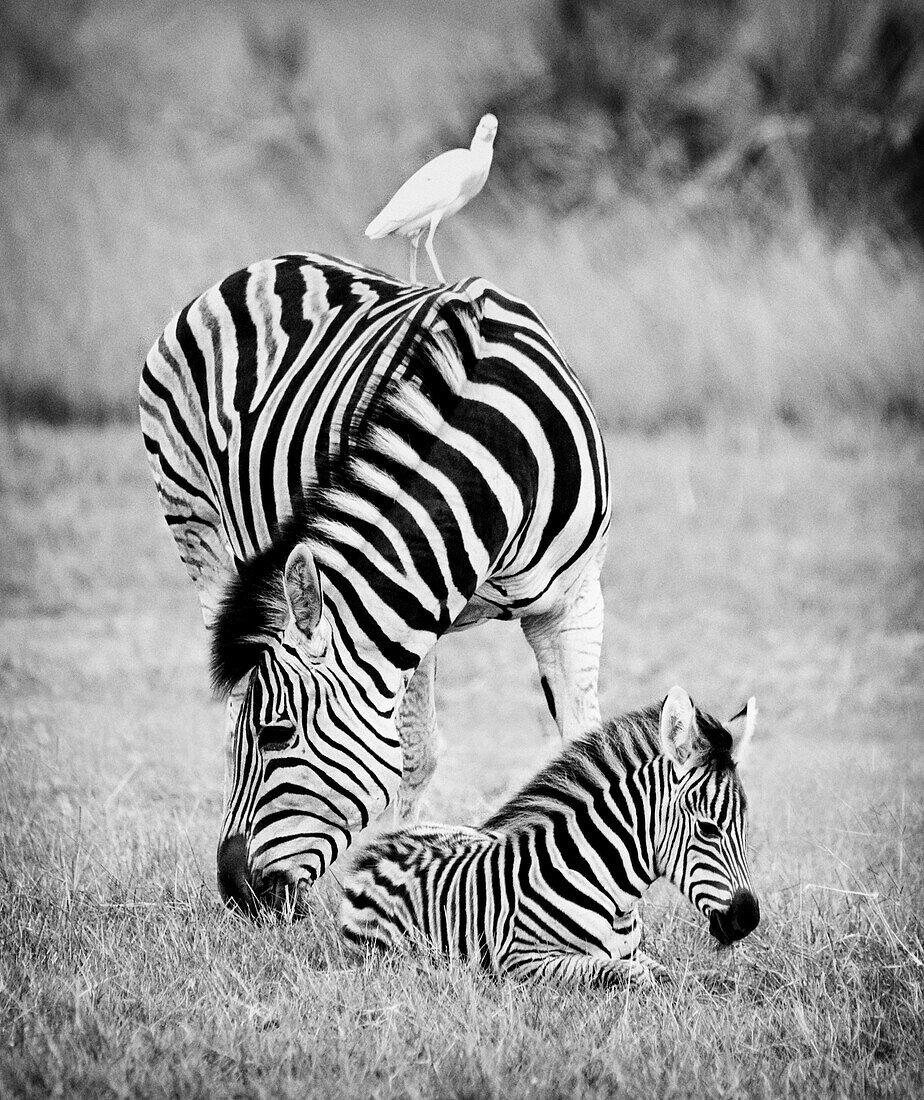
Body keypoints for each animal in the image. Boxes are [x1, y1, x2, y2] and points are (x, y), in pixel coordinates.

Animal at [140, 253, 611, 915]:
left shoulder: (573, 602)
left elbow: (581, 743)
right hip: (197, 527)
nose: (235, 892)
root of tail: (258, 268)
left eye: (277, 733)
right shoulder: (415, 611)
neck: (497, 450)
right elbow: (414, 756)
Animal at [343, 682, 761, 985]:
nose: (749, 920)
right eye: (707, 829)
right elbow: (630, 975)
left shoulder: (634, 951)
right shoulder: (522, 959)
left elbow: (667, 973)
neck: (608, 890)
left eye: (743, 826)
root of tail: (376, 848)